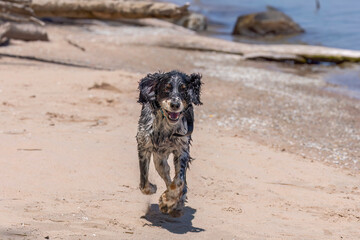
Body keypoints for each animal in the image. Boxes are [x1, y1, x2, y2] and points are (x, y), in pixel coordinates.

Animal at [136, 70, 202, 218]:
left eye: (184, 89)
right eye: (167, 88)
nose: (175, 105)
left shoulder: (182, 150)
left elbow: (179, 181)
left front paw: (168, 200)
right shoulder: (144, 146)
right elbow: (143, 182)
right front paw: (153, 188)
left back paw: (176, 203)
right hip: (159, 160)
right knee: (166, 174)